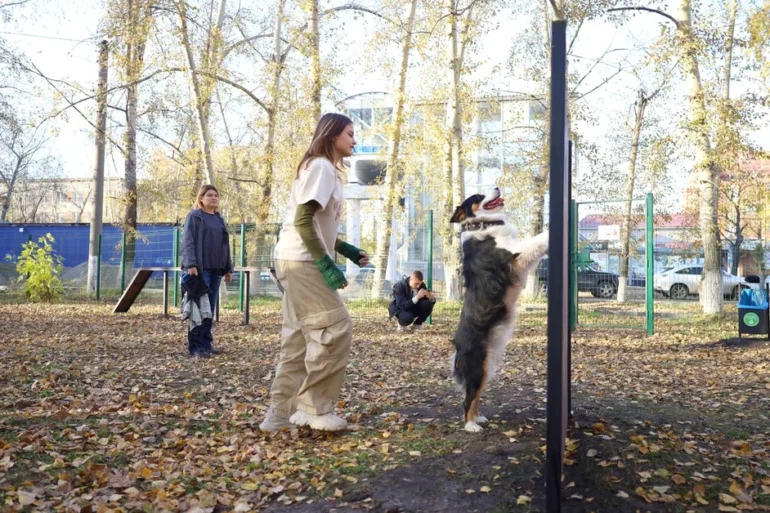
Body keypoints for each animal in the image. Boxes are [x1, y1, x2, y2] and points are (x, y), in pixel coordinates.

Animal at [448, 186, 548, 430]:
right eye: (477, 197)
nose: (497, 187)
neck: (483, 225)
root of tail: (457, 348)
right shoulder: (514, 256)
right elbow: (538, 239)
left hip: (487, 368)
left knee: (475, 396)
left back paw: (478, 418)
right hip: (477, 368)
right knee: (467, 399)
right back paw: (471, 426)